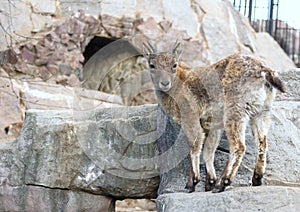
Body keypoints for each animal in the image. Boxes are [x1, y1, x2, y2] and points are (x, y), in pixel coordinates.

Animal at [143, 40, 286, 193]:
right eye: (152, 65)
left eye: (174, 64)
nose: (164, 83)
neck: (178, 87)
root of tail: (263, 71)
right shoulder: (212, 126)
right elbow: (208, 151)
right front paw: (209, 182)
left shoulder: (190, 117)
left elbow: (194, 147)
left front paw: (192, 184)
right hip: (262, 112)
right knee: (262, 143)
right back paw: (256, 179)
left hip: (235, 110)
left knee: (239, 146)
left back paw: (223, 183)